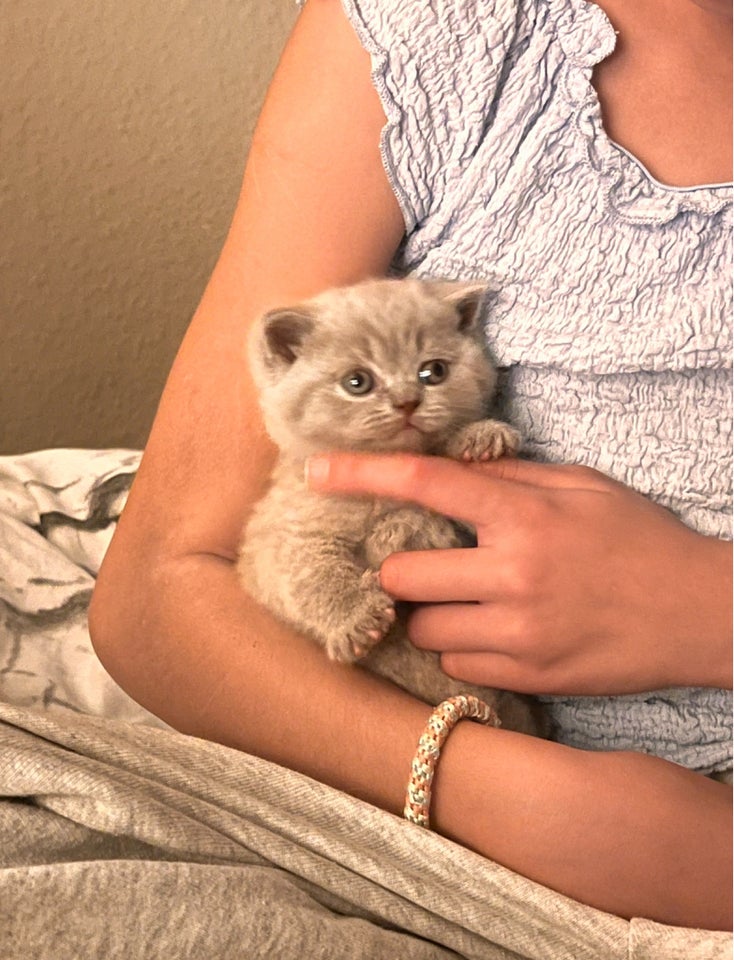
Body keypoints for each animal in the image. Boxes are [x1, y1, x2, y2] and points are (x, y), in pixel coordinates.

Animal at [242, 278, 548, 736]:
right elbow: (308, 573)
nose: (407, 400)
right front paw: (356, 617)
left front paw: (479, 437)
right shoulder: (287, 530)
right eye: (357, 382)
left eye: (433, 371)